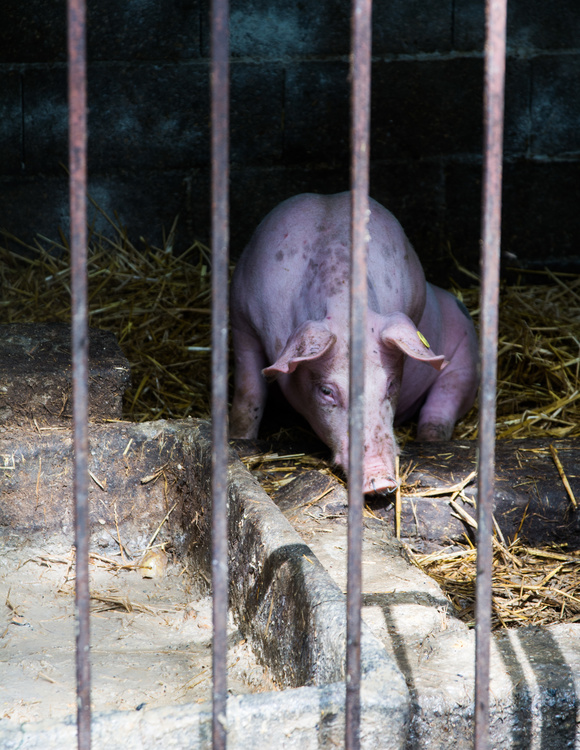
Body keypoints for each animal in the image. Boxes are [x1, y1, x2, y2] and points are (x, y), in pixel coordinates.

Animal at [229, 192, 479, 493]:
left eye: (390, 385)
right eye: (326, 391)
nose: (380, 481)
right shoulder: (241, 319)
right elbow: (248, 394)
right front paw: (238, 439)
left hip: (466, 358)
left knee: (440, 411)